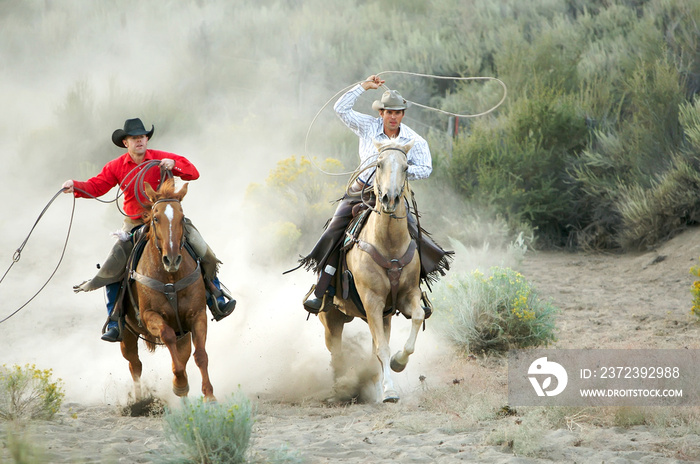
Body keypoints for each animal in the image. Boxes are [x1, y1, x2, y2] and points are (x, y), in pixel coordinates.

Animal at [120, 179, 215, 400]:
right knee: (134, 364)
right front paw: (180, 384)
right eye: (156, 218)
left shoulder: (197, 315)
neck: (170, 278)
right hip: (126, 334)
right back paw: (140, 401)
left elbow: (200, 355)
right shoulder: (150, 316)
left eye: (181, 218)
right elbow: (168, 337)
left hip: (184, 333)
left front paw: (209, 396)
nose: (172, 259)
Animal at [320, 138, 424, 402]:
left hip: (383, 316)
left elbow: (416, 319)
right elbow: (381, 348)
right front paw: (389, 392)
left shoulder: (407, 295)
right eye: (378, 164)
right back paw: (339, 390)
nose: (390, 199)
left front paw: (398, 364)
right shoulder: (372, 301)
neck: (389, 244)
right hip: (331, 318)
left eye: (406, 167)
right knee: (336, 352)